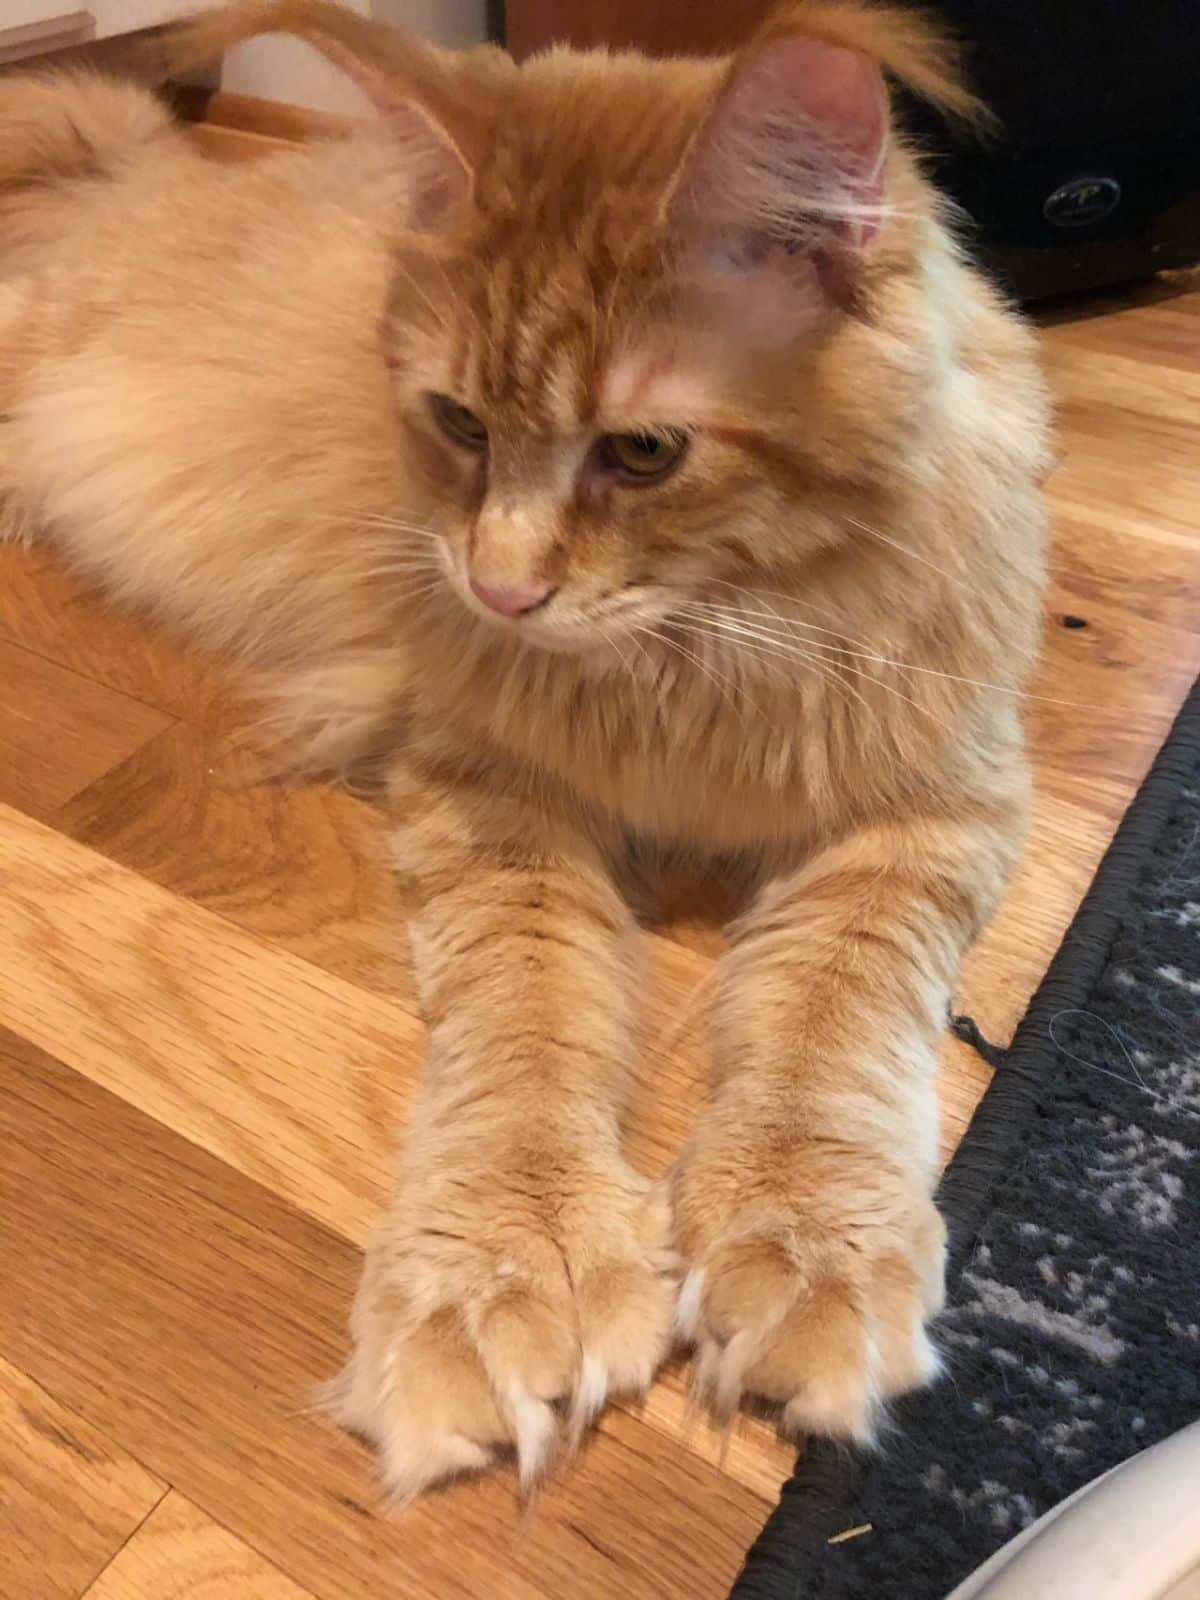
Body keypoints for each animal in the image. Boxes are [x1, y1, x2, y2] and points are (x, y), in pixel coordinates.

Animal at [0, 0, 1049, 1497]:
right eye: (458, 425)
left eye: (645, 451)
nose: (496, 592)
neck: (707, 651)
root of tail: (152, 165)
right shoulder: (486, 785)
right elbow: (529, 1021)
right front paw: (516, 1258)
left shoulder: (932, 803)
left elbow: (826, 1026)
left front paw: (802, 1239)